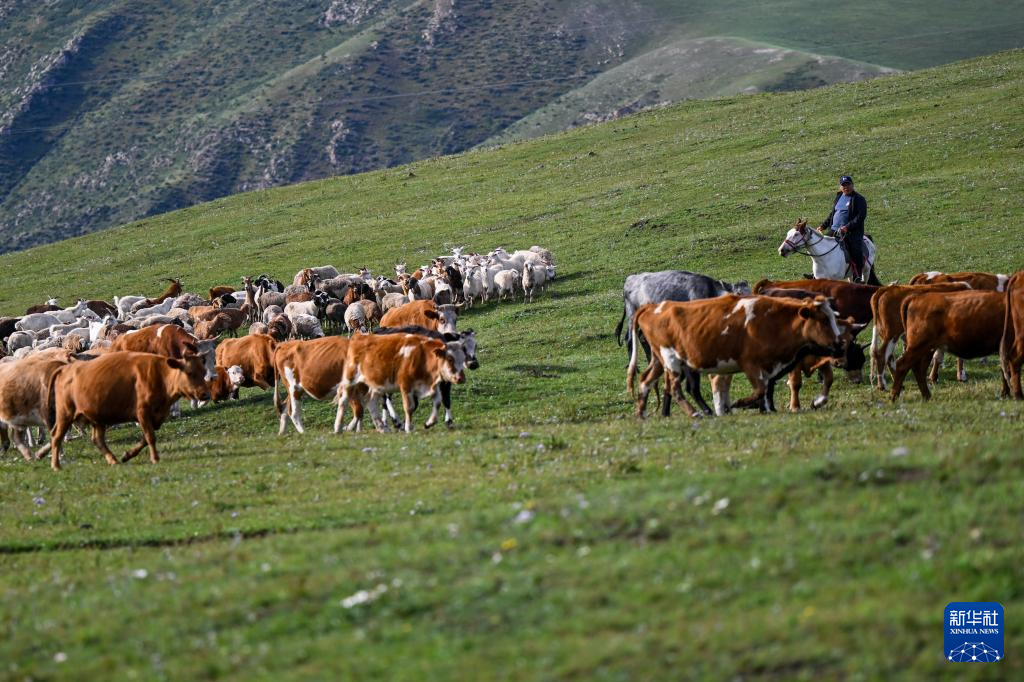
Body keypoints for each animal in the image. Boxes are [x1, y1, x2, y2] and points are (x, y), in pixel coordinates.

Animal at [48, 350, 211, 466]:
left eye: (203, 372)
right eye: (190, 373)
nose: (206, 394)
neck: (161, 375)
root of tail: (65, 368)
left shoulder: (158, 416)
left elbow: (146, 438)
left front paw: (128, 455)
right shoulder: (142, 412)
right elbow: (150, 437)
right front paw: (155, 458)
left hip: (97, 419)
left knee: (97, 439)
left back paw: (113, 460)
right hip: (65, 414)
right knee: (56, 436)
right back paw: (56, 465)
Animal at [626, 292, 843, 413]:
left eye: (833, 318)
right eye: (824, 320)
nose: (840, 344)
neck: (775, 320)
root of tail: (652, 307)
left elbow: (765, 389)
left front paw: (765, 408)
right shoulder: (751, 364)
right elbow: (761, 390)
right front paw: (740, 404)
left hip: (658, 359)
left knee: (645, 381)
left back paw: (641, 415)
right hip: (671, 359)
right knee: (675, 388)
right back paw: (695, 413)